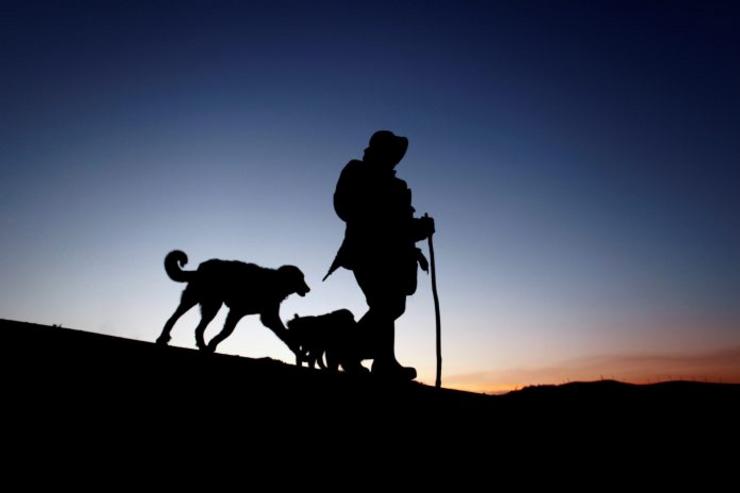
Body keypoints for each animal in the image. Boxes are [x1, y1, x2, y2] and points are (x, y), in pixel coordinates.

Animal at [156, 250, 310, 354]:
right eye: (301, 278)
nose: (309, 289)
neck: (276, 282)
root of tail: (200, 268)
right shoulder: (238, 311)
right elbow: (227, 331)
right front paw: (213, 344)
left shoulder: (266, 317)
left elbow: (284, 334)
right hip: (196, 299)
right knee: (174, 318)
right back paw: (163, 338)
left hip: (211, 306)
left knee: (198, 328)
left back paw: (201, 345)